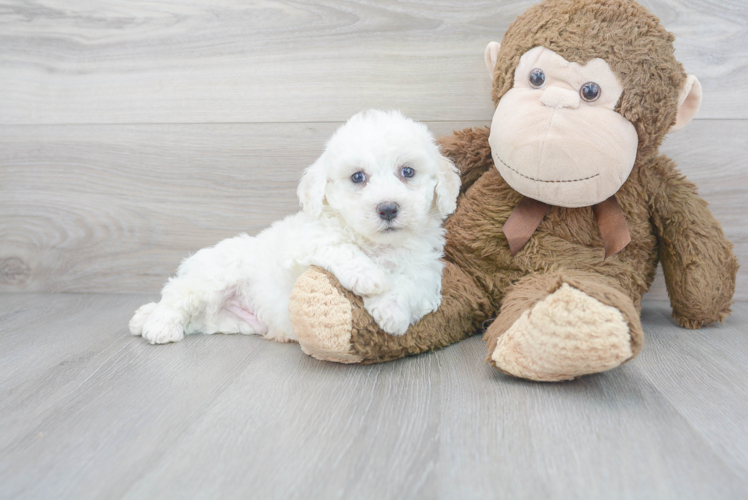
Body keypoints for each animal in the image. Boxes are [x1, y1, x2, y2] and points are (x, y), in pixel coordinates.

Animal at [129, 109, 462, 344]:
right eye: (358, 177)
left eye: (408, 172)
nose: (388, 208)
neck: (377, 244)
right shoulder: (304, 242)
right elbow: (341, 248)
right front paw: (369, 277)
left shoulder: (427, 273)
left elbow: (410, 286)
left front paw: (392, 310)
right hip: (215, 275)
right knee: (177, 295)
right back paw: (158, 324)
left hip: (227, 319)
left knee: (196, 316)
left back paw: (144, 317)